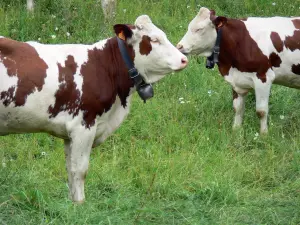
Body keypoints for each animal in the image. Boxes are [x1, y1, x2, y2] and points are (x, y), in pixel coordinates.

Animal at [0, 14, 188, 203]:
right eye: (154, 40)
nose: (183, 59)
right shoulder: (84, 125)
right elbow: (80, 170)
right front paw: (81, 204)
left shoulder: (69, 133)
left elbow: (70, 169)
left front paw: (72, 203)